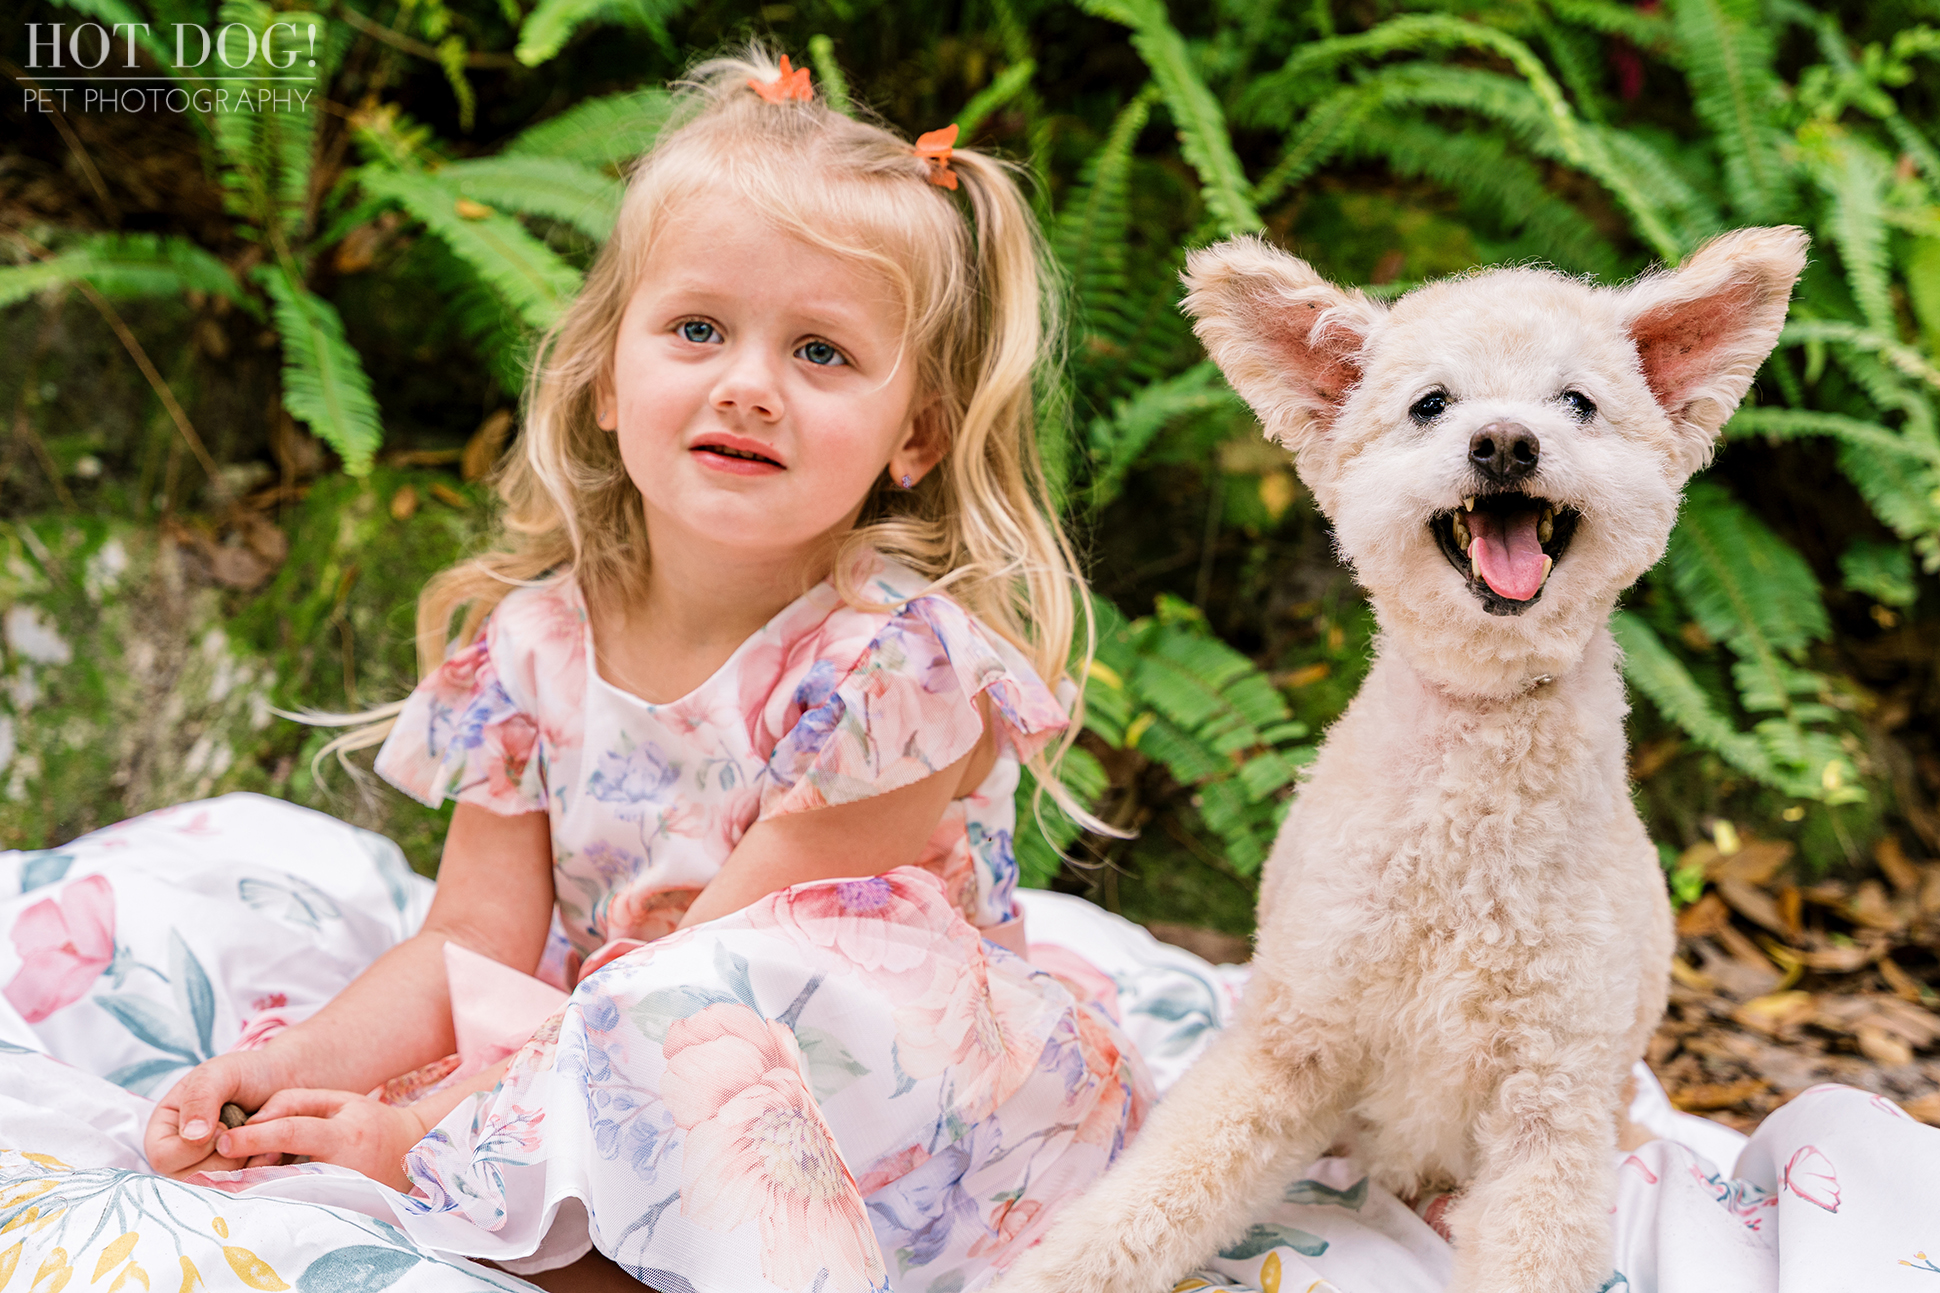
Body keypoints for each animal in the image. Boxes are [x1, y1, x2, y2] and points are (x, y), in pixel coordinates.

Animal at [1008, 226, 1808, 1289]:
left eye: (1578, 402)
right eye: (1431, 404)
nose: (1504, 441)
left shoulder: (1550, 1101)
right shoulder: (1291, 1037)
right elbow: (1147, 1200)